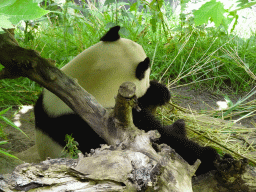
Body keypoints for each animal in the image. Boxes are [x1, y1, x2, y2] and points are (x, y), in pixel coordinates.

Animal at [34, 25, 221, 176]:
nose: (151, 85)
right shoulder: (99, 122)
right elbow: (157, 140)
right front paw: (208, 156)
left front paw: (161, 91)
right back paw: (180, 126)